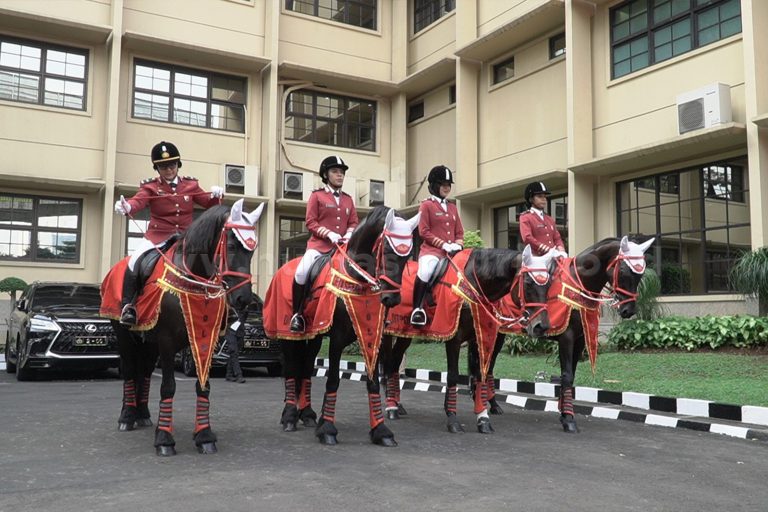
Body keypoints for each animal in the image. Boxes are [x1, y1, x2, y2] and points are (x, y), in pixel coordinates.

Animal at [102, 198, 264, 454]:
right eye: (231, 246)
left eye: (252, 249)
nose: (243, 299)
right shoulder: (167, 341)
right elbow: (168, 386)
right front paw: (164, 439)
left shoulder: (204, 337)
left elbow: (203, 386)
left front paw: (204, 435)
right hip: (124, 335)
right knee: (129, 371)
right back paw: (127, 417)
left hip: (149, 343)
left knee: (144, 373)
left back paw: (143, 415)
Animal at [264, 206, 420, 446]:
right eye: (386, 249)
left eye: (408, 254)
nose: (392, 299)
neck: (356, 276)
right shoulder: (337, 338)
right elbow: (333, 380)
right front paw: (327, 429)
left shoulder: (373, 334)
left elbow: (373, 382)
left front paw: (381, 431)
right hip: (286, 334)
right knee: (291, 369)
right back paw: (290, 416)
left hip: (315, 335)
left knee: (306, 368)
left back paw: (307, 414)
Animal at [376, 244, 552, 432]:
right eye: (527, 283)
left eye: (548, 284)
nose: (541, 326)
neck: (473, 284)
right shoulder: (454, 337)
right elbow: (453, 375)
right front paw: (452, 418)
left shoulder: (478, 337)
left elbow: (480, 375)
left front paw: (483, 418)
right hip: (389, 332)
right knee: (389, 364)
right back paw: (391, 407)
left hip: (405, 336)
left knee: (394, 363)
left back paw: (397, 405)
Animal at [544, 235, 656, 432]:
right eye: (624, 271)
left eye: (640, 274)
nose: (628, 311)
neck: (578, 283)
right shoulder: (566, 337)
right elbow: (567, 376)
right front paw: (569, 420)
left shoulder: (580, 339)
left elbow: (570, 375)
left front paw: (565, 416)